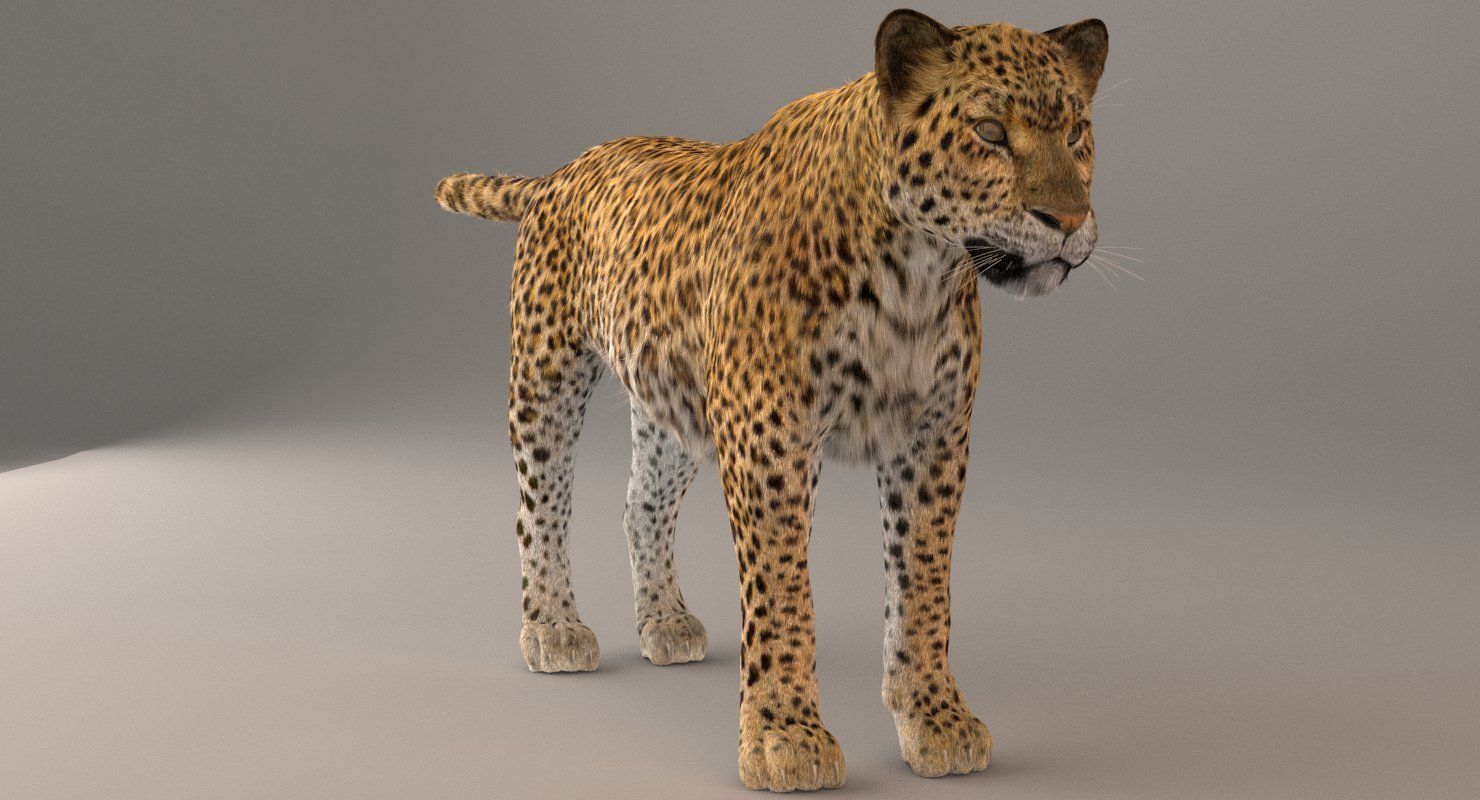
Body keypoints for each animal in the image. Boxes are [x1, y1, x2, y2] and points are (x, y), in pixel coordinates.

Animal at [435, 9, 1108, 792]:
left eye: (1078, 133)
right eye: (990, 132)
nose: (1068, 220)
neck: (916, 271)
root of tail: (564, 170)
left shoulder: (933, 438)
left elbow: (923, 584)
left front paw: (935, 719)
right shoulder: (769, 439)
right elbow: (782, 593)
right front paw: (786, 737)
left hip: (674, 398)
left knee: (642, 504)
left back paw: (664, 622)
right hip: (546, 372)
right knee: (539, 506)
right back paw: (554, 628)